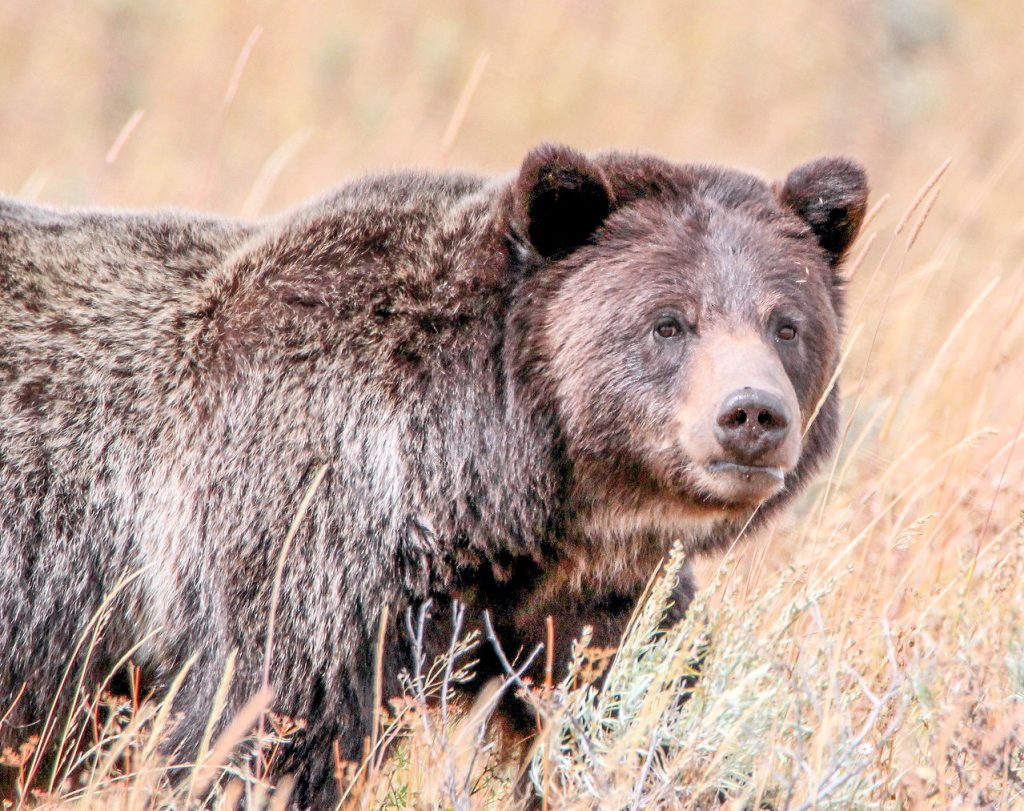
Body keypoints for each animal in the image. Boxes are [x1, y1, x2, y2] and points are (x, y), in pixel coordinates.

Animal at [0, 144, 867, 808]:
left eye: (786, 323)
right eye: (668, 321)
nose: (751, 414)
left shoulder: (588, 602)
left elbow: (637, 712)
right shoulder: (296, 540)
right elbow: (257, 733)